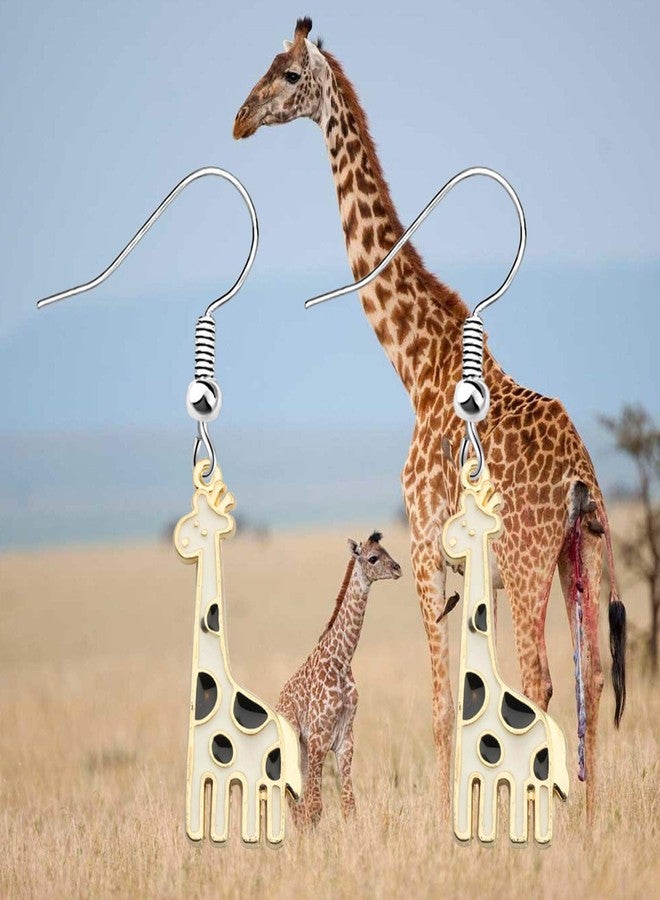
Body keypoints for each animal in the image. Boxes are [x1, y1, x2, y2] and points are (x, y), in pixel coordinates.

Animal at [174, 461, 302, 845]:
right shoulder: (207, 770)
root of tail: (284, 730)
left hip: (270, 774)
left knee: (272, 809)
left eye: (199, 525)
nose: (181, 540)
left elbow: (205, 813)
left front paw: (211, 834)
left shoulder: (207, 771)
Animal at [277, 532, 401, 827]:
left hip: (303, 750)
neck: (342, 660)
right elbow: (315, 807)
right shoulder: (318, 739)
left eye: (386, 550)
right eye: (373, 558)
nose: (398, 569)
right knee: (295, 799)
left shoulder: (345, 740)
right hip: (295, 743)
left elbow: (348, 806)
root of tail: (277, 704)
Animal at [443, 461, 569, 844]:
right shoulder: (474, 771)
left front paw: (482, 836)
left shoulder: (477, 771)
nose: (447, 541)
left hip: (537, 774)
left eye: (468, 525)